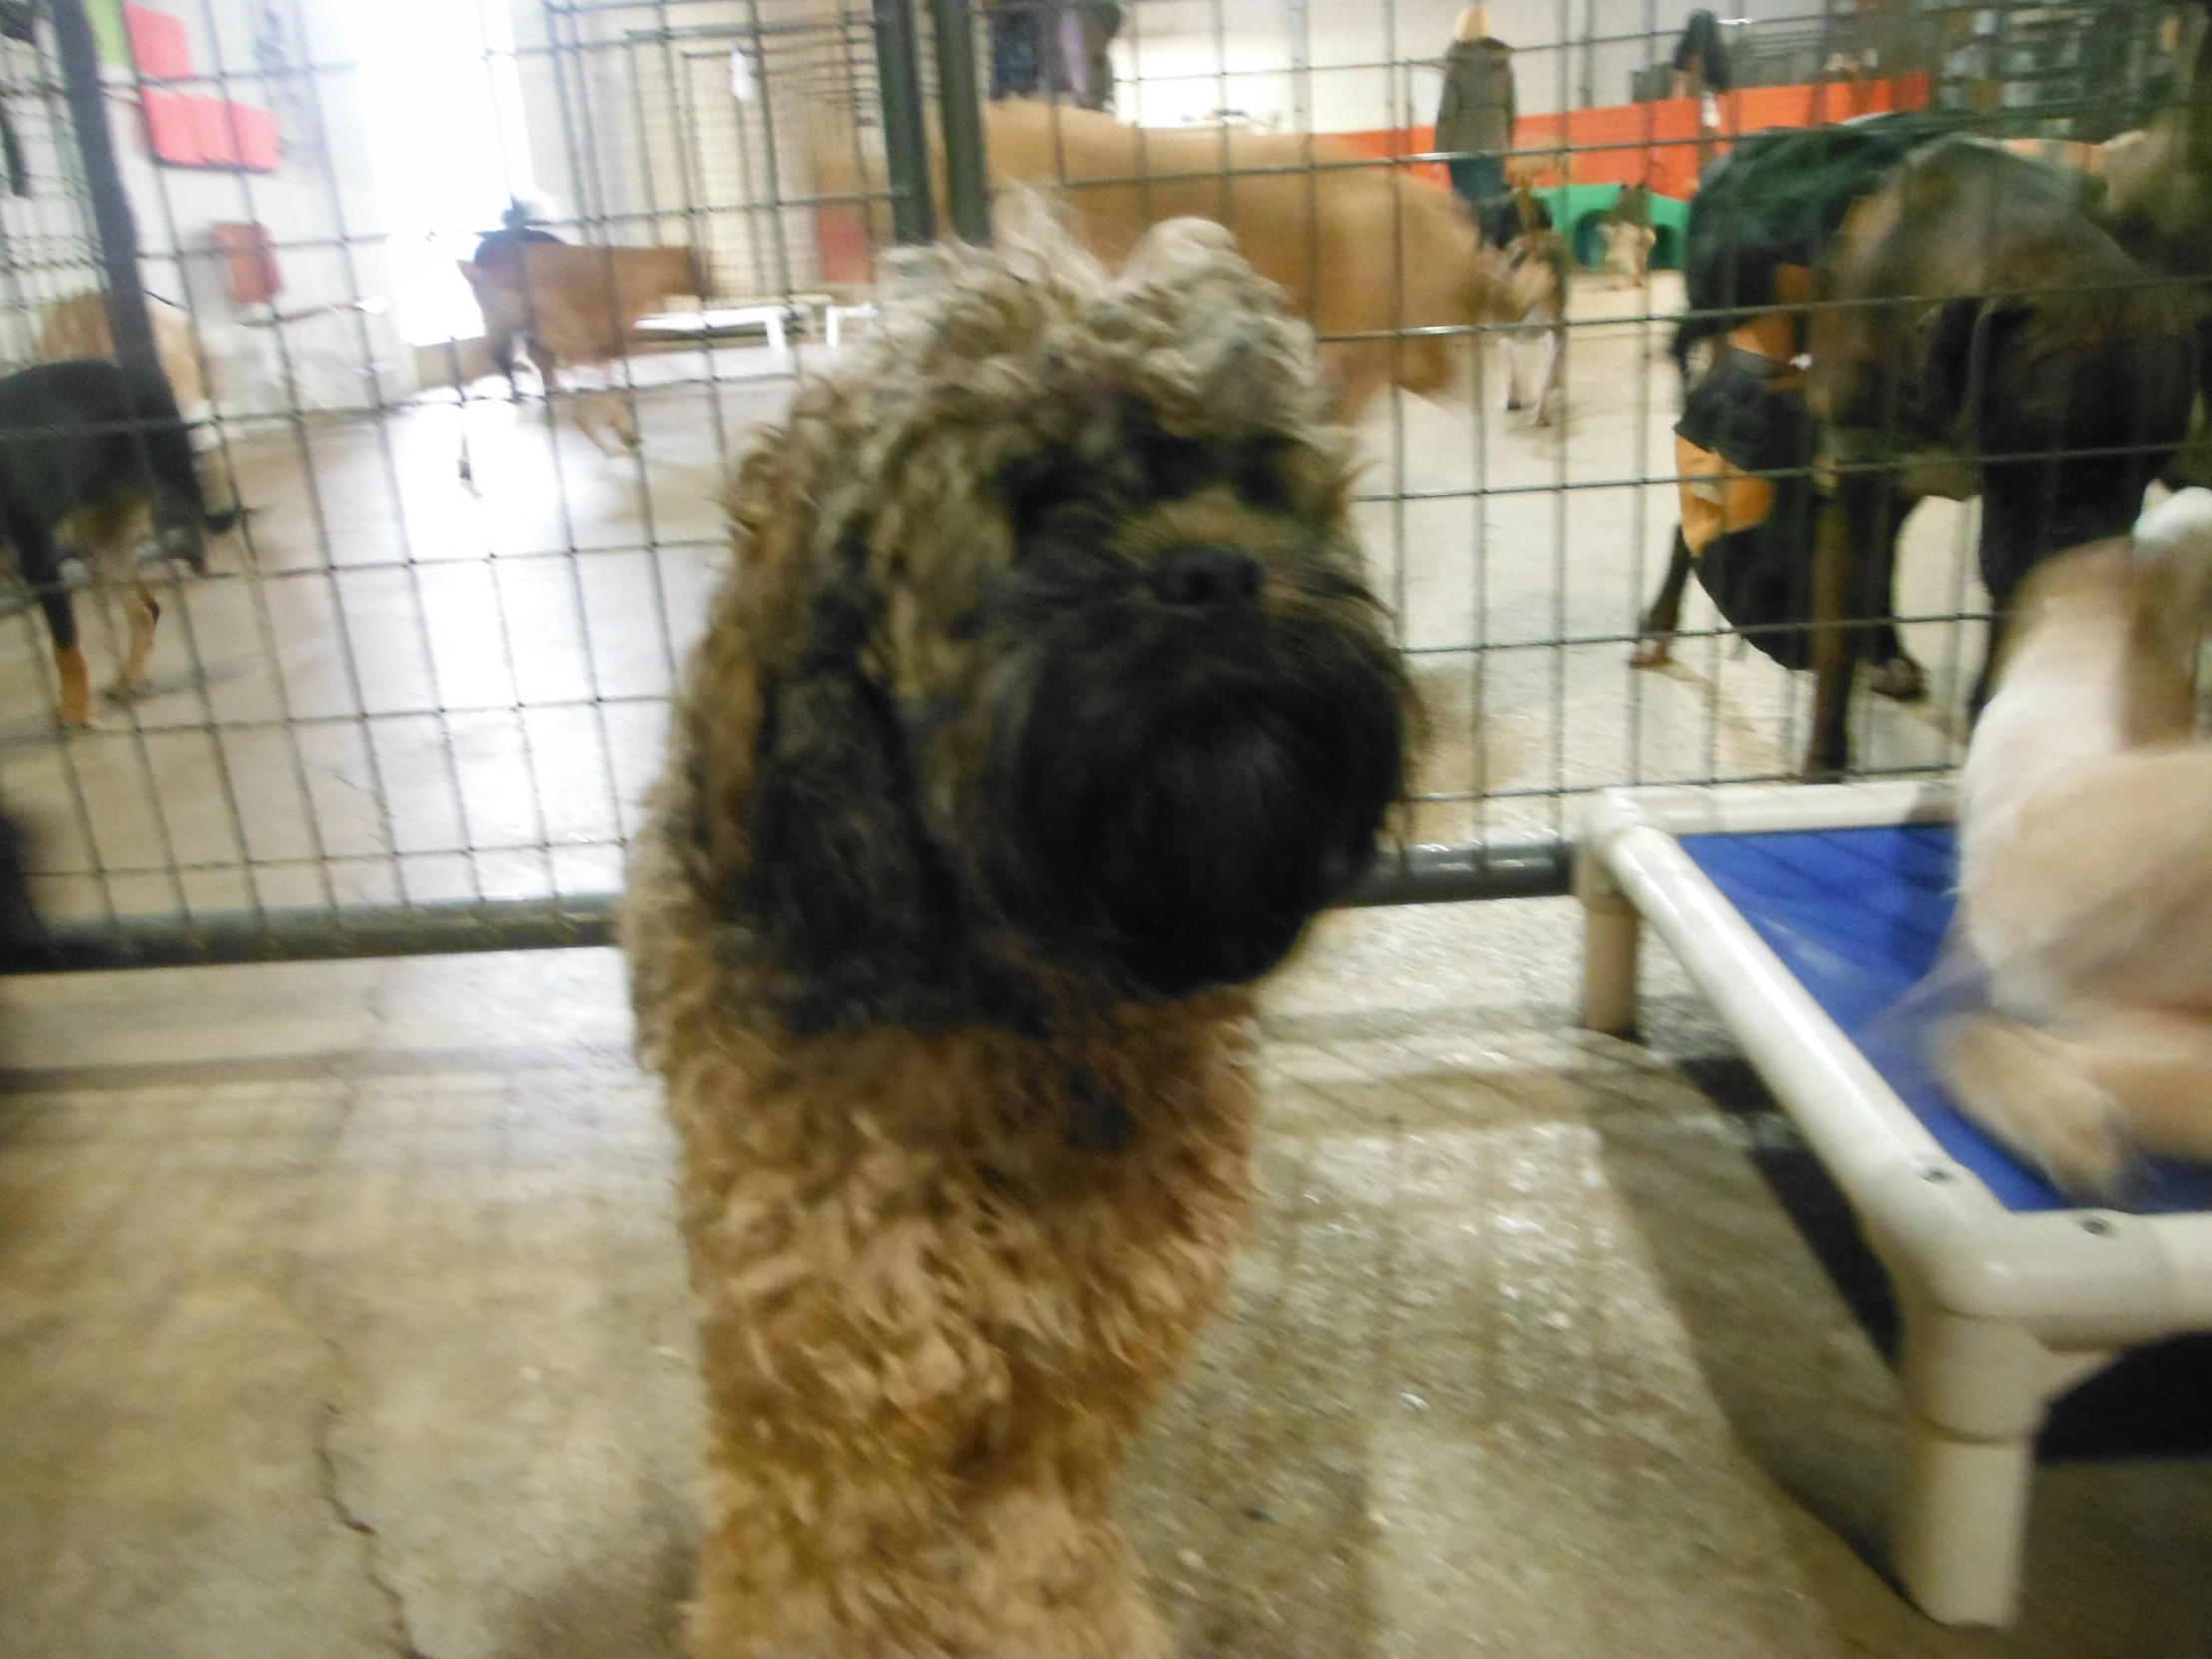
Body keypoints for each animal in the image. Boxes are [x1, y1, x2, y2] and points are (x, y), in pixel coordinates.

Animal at [0, 357, 237, 725]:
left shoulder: (38, 556)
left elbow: (65, 643)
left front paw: (75, 707)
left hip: (171, 486)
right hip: (99, 537)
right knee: (145, 608)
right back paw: (129, 679)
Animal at [628, 201, 1415, 1654]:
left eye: (1252, 474)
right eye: (1036, 501)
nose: (1215, 571)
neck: (1025, 1009)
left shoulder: (1070, 1392)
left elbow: (1045, 1579)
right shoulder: (837, 1400)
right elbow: (813, 1594)